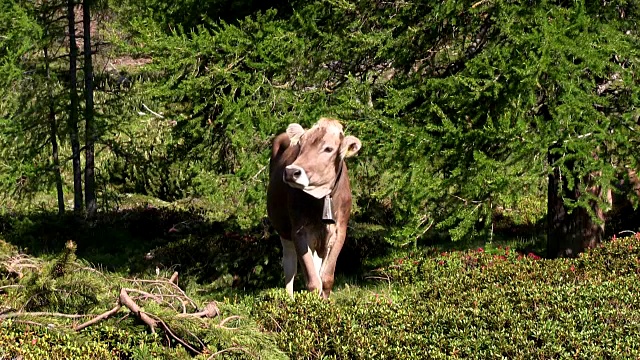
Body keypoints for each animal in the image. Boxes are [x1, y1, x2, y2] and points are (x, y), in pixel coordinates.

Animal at [268, 117, 362, 298]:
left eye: (328, 149)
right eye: (300, 145)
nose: (291, 172)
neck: (321, 199)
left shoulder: (339, 231)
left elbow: (325, 278)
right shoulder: (299, 231)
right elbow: (313, 281)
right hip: (284, 231)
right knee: (289, 266)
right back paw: (289, 299)